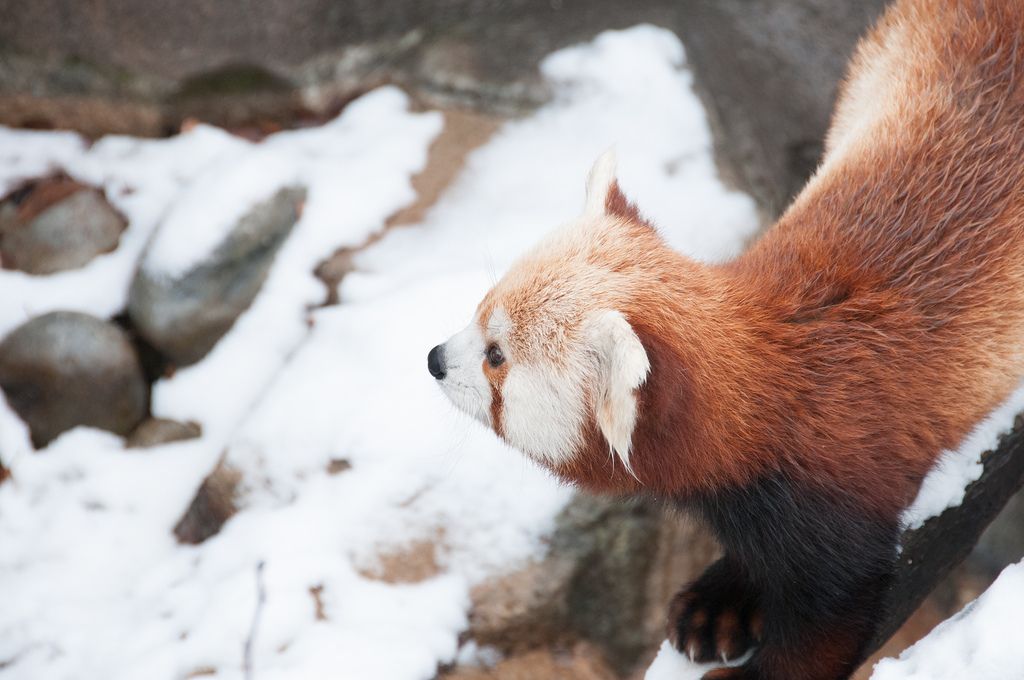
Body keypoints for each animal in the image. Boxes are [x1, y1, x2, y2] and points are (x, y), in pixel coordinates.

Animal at [428, 2, 1024, 675]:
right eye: (477, 313)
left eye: (495, 356)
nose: (434, 359)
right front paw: (722, 603)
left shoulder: (837, 487)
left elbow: (835, 610)